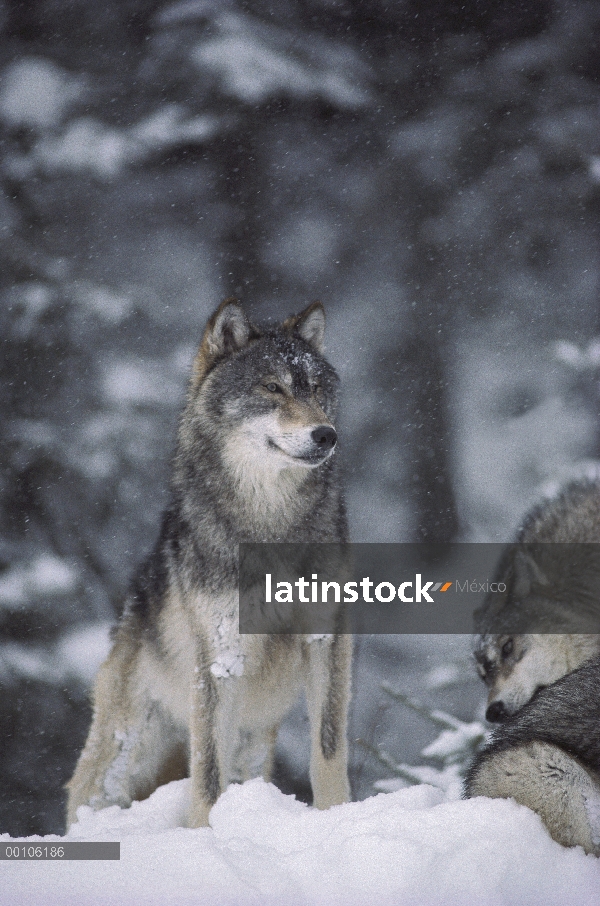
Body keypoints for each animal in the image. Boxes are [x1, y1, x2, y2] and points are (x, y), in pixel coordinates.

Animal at [67, 296, 352, 828]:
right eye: (272, 387)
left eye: (315, 389)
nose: (326, 435)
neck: (269, 524)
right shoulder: (220, 658)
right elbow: (208, 773)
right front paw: (207, 831)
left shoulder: (327, 638)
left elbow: (328, 749)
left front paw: (339, 816)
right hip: (123, 758)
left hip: (252, 740)